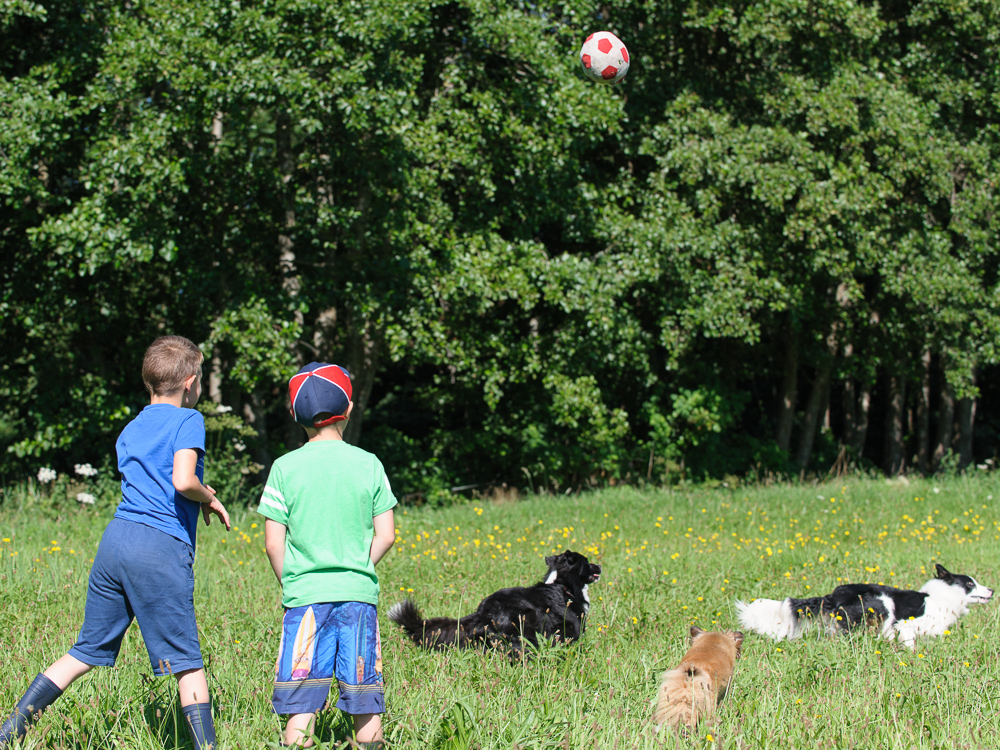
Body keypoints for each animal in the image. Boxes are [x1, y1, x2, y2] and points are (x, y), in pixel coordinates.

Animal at [736, 563, 993, 648]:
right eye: (970, 583)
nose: (991, 590)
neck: (943, 597)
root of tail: (833, 595)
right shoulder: (904, 626)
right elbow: (909, 644)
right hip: (882, 604)